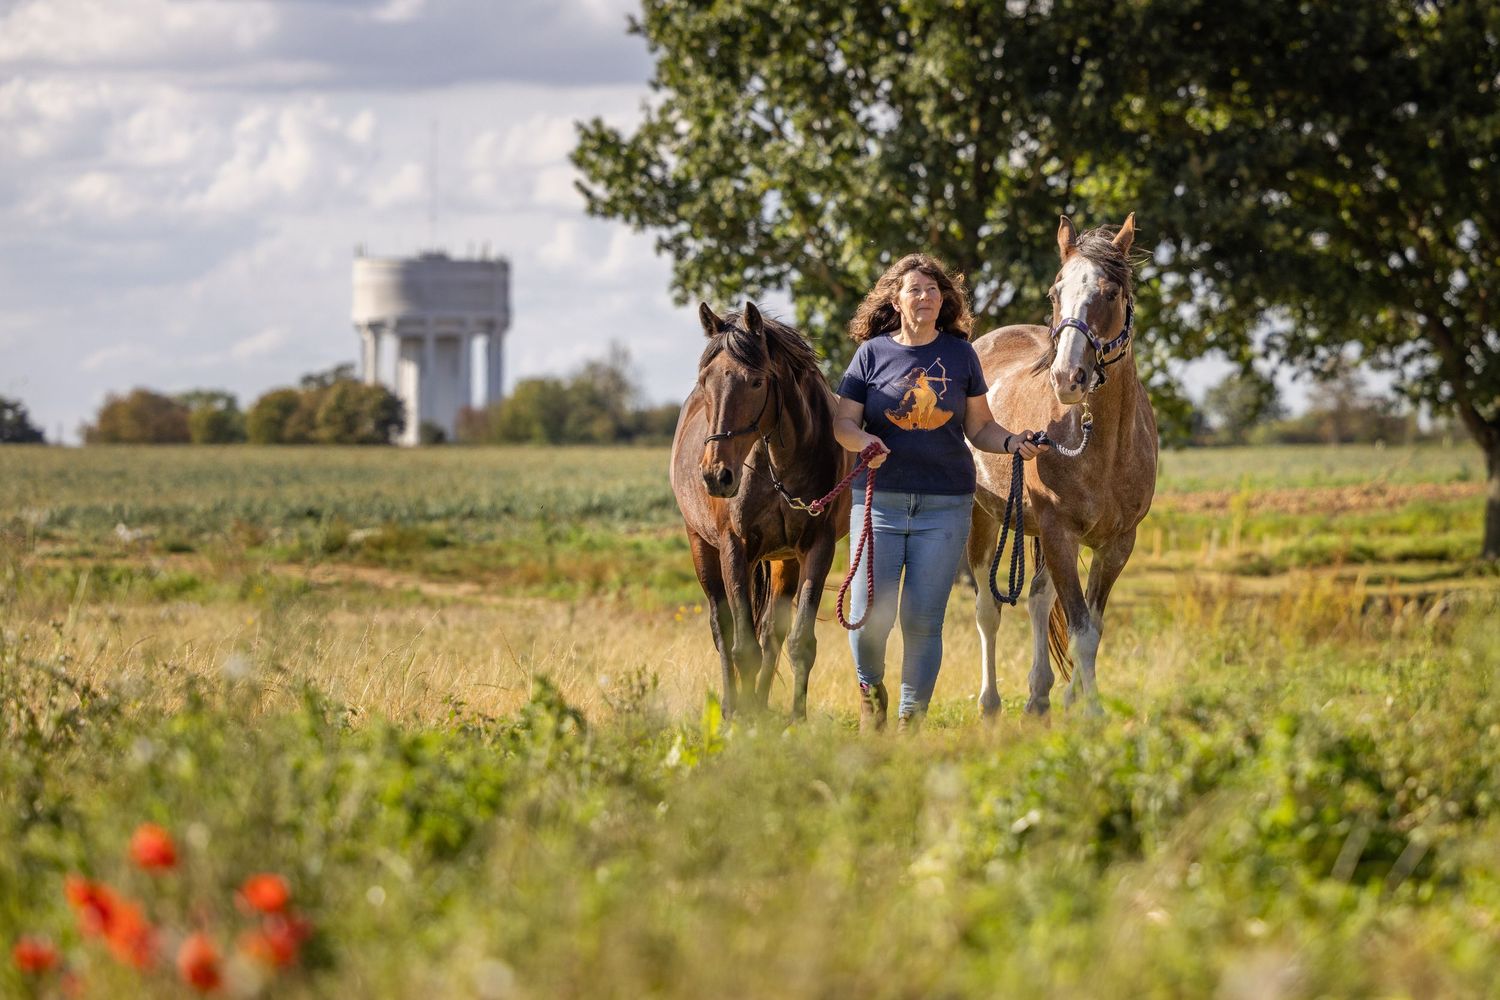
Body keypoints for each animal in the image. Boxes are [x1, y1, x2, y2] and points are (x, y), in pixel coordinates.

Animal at [669, 302, 852, 720]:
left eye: (755, 382)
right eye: (705, 381)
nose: (716, 475)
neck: (778, 464)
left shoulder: (815, 548)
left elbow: (798, 642)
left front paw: (793, 720)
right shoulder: (735, 548)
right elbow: (742, 647)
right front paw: (743, 718)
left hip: (784, 560)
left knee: (771, 632)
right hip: (702, 546)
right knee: (722, 629)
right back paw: (731, 707)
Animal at [967, 213, 1158, 717]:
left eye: (1109, 293)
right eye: (1056, 293)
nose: (1067, 378)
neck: (1103, 446)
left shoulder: (1118, 544)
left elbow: (1092, 625)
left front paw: (1075, 697)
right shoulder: (1059, 533)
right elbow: (1079, 629)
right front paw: (1091, 711)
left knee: (1035, 600)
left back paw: (1038, 695)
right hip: (984, 518)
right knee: (988, 611)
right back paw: (990, 703)